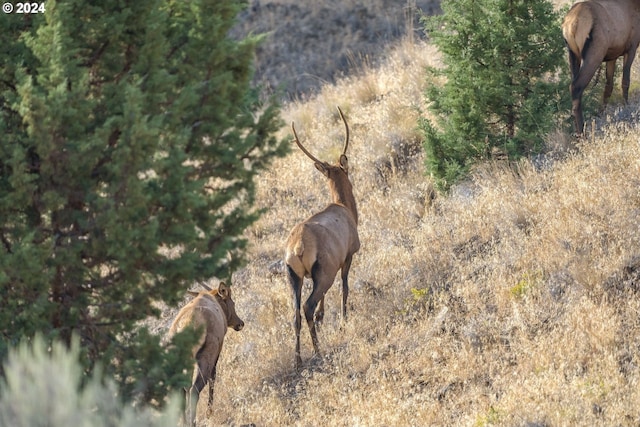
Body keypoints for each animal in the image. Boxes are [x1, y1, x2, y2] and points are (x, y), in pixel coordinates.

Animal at [166, 282, 244, 426]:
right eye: (233, 302)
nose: (240, 323)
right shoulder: (218, 347)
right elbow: (213, 376)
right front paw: (209, 412)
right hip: (205, 355)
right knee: (194, 389)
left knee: (181, 391)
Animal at [284, 105, 360, 370]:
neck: (346, 208)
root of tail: (297, 249)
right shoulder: (348, 255)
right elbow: (345, 287)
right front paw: (344, 319)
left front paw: (322, 316)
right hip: (324, 269)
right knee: (307, 306)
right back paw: (317, 351)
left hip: (294, 276)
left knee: (295, 314)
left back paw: (298, 360)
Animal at [564, 0, 640, 135]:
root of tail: (571, 25)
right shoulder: (631, 47)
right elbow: (625, 81)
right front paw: (627, 108)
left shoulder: (612, 56)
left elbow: (608, 86)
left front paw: (601, 114)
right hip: (594, 54)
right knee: (575, 86)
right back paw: (582, 133)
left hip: (573, 54)